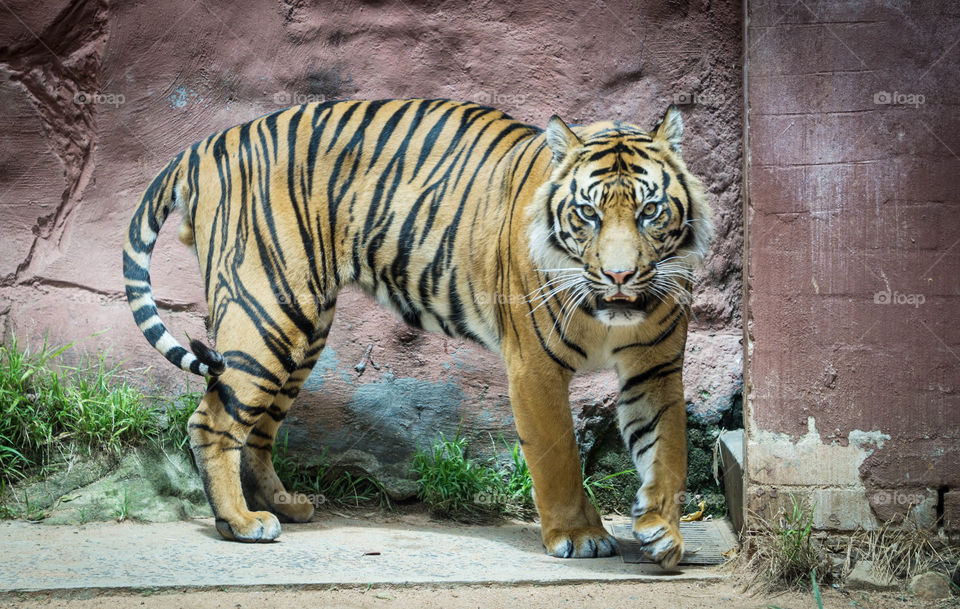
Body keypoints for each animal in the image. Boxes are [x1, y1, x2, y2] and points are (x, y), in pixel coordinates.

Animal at [123, 98, 713, 569]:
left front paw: (663, 533)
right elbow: (558, 455)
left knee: (258, 427)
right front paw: (579, 534)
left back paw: (282, 506)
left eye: (650, 211)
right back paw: (240, 524)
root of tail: (205, 145)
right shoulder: (536, 368)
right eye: (588, 214)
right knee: (212, 418)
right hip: (267, 310)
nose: (620, 276)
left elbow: (668, 450)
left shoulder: (656, 367)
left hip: (304, 332)